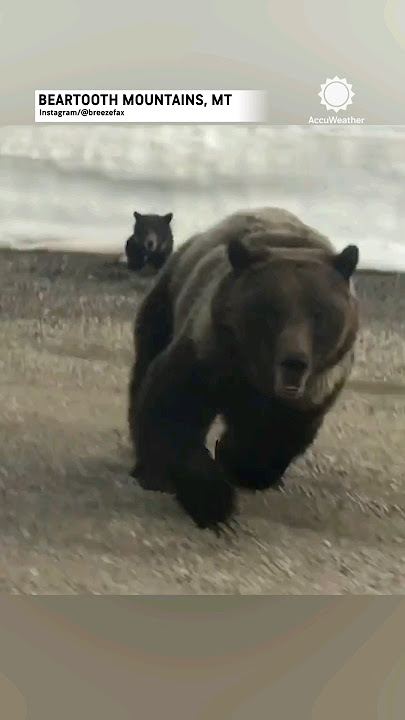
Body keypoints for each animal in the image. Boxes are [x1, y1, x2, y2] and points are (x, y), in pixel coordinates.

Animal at [127, 207, 360, 531]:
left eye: (319, 313)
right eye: (272, 311)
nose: (294, 361)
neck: (256, 377)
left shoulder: (315, 389)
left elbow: (277, 437)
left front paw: (236, 462)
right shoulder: (209, 355)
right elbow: (172, 410)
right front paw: (213, 500)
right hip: (167, 300)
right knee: (145, 362)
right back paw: (148, 471)